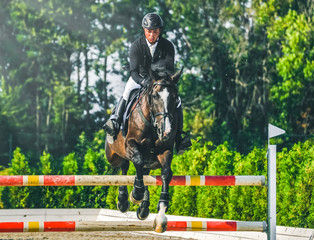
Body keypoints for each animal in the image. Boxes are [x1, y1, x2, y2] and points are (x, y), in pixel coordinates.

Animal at [105, 67, 183, 232]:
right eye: (155, 96)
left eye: (175, 98)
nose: (165, 132)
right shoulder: (131, 144)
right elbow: (138, 162)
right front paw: (136, 194)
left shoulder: (165, 151)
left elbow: (166, 174)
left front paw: (161, 218)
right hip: (114, 155)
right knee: (124, 167)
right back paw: (123, 201)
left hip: (151, 161)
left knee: (144, 172)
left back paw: (143, 208)